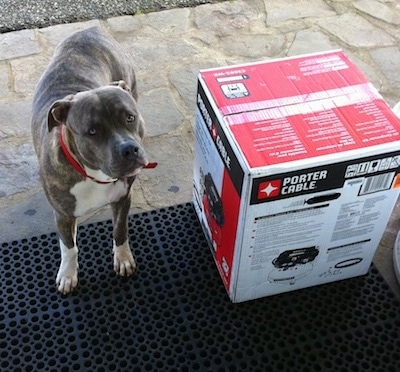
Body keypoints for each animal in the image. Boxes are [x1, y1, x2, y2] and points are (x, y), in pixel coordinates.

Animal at [31, 26, 152, 294]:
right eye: (93, 131)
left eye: (130, 117)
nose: (129, 150)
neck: (94, 174)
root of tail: (90, 29)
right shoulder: (62, 215)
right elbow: (69, 248)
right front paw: (68, 274)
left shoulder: (122, 198)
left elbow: (120, 230)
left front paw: (123, 258)